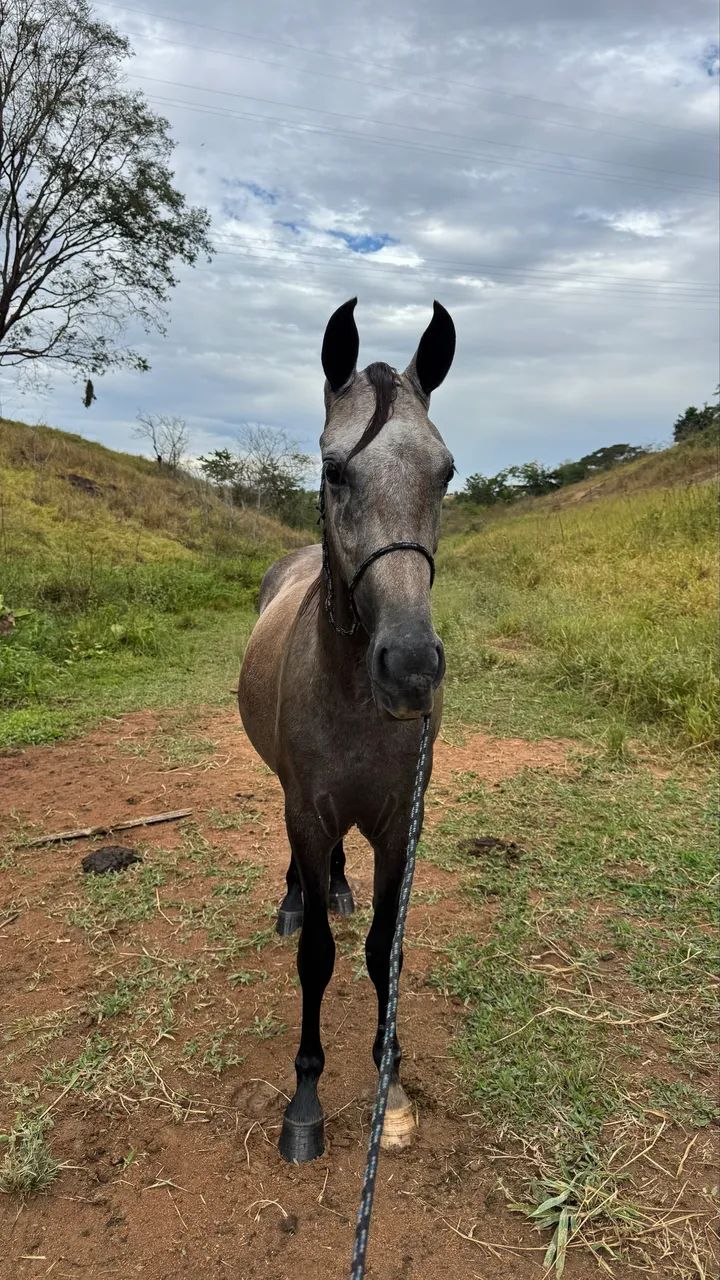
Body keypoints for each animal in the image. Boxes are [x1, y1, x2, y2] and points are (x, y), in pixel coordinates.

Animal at [238, 297, 456, 1163]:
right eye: (335, 471)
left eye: (445, 473)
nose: (411, 668)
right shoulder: (308, 809)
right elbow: (318, 960)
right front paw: (306, 1100)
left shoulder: (400, 825)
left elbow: (379, 953)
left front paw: (389, 1086)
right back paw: (301, 897)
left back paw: (333, 887)